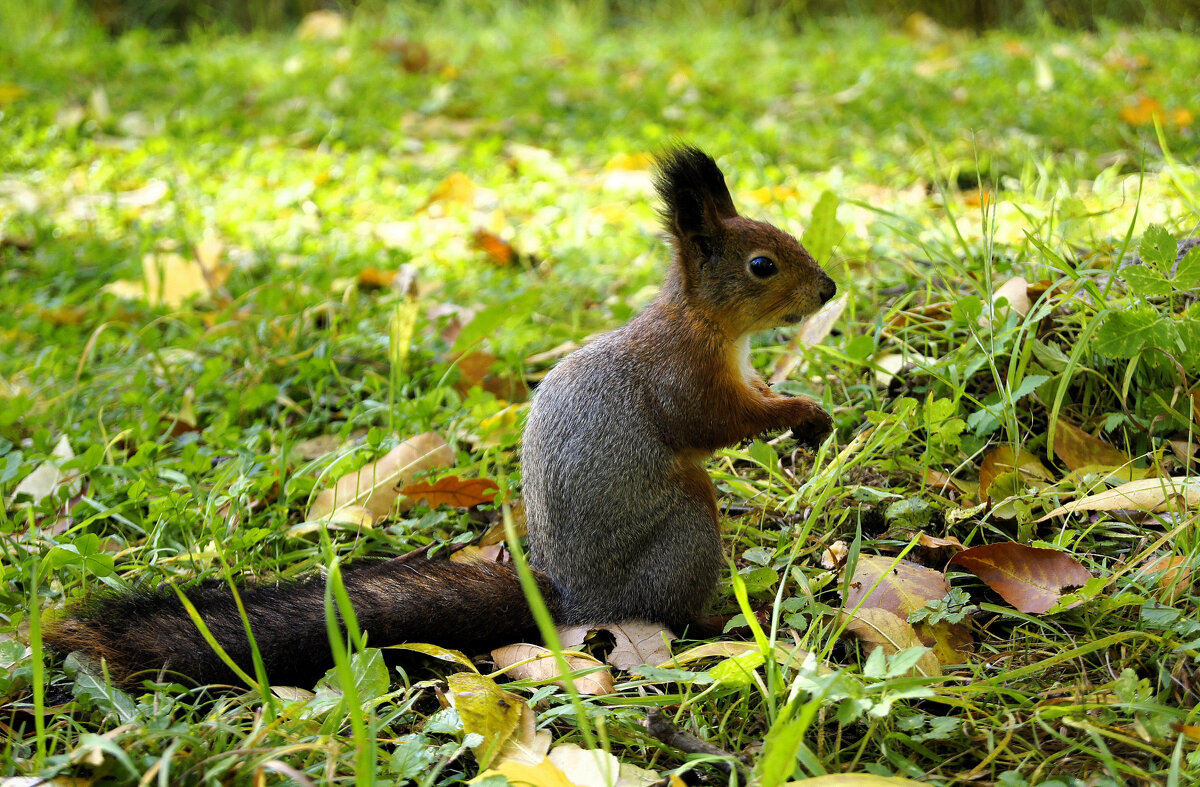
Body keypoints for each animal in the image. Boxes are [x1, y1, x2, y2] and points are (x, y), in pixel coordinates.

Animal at [44, 147, 835, 691]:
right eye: (762, 264)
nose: (828, 288)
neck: (706, 323)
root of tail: (577, 596)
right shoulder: (684, 376)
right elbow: (715, 424)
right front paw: (802, 412)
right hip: (686, 529)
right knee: (674, 600)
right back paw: (721, 618)